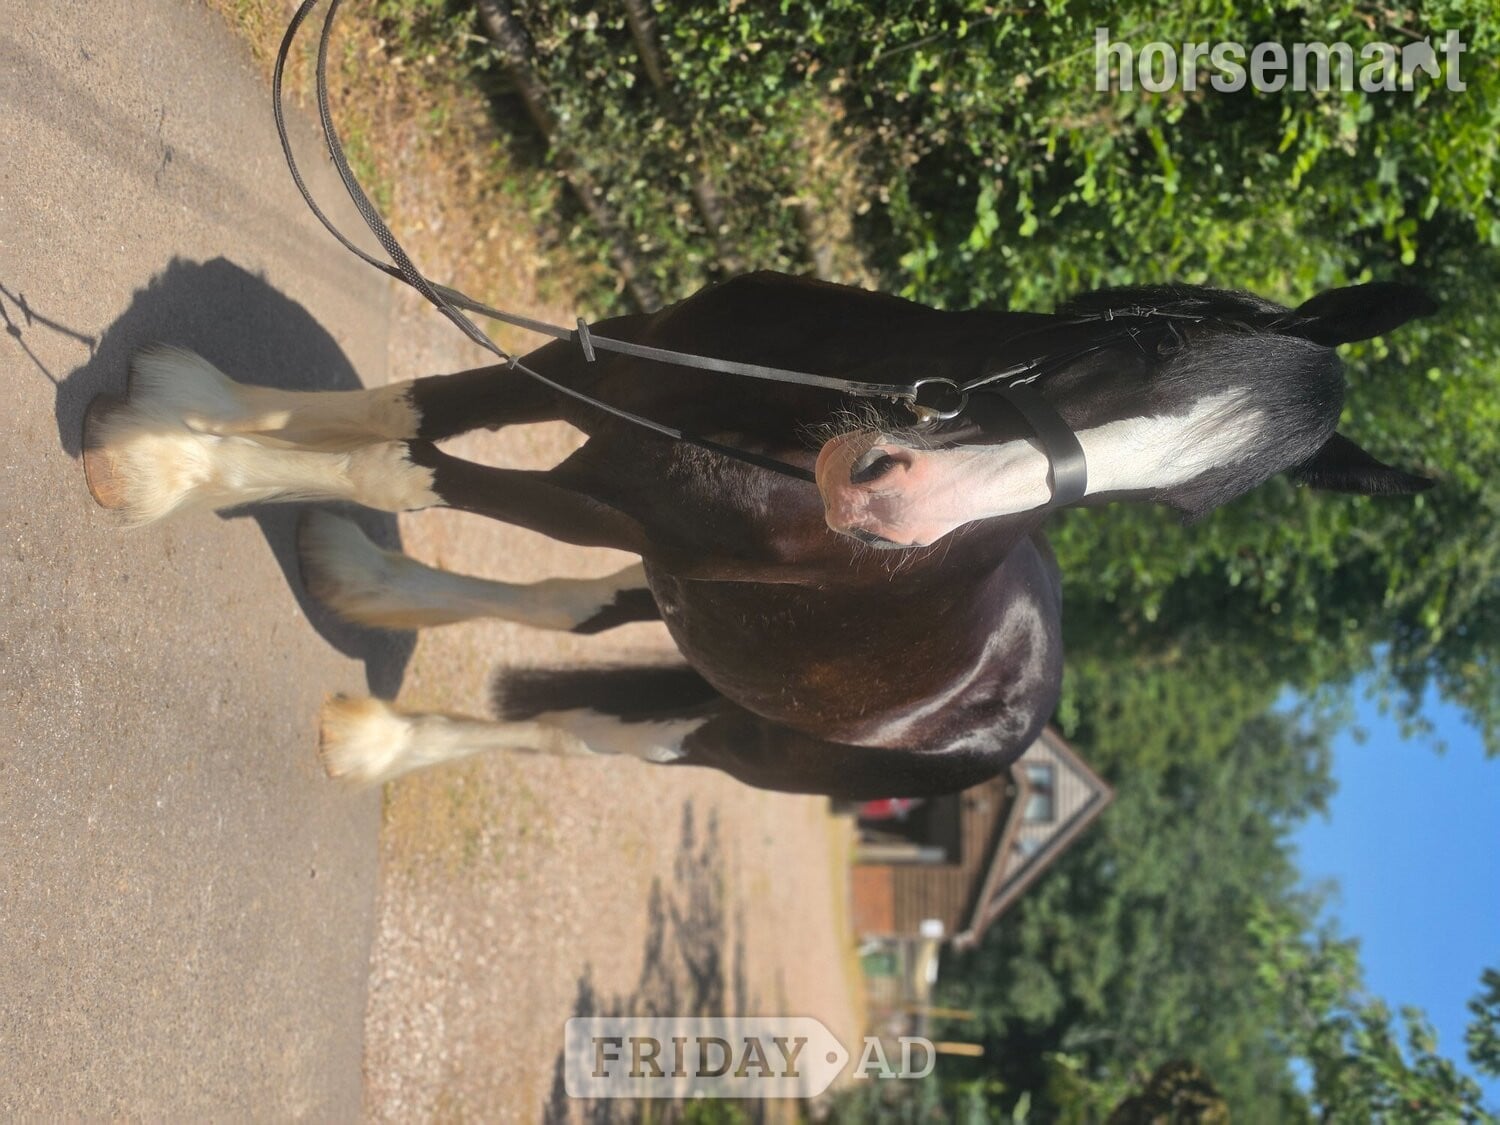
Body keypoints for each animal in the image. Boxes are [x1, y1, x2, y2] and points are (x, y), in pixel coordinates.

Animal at [80, 271, 1435, 797]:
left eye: (1176, 506)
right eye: (1148, 344)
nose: (891, 502)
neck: (788, 415)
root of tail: (1026, 712)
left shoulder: (606, 496)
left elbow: (406, 462)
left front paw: (157, 465)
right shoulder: (612, 370)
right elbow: (414, 408)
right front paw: (187, 399)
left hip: (733, 730)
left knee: (585, 731)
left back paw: (383, 741)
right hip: (693, 606)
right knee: (576, 611)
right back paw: (362, 590)